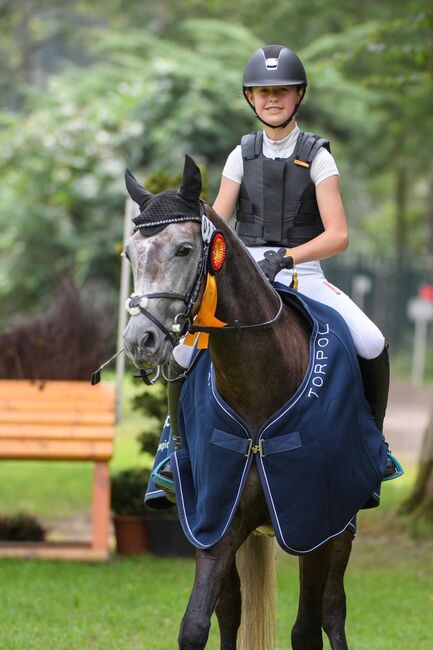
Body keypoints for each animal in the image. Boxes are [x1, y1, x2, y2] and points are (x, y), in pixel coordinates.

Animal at [120, 157, 352, 648]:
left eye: (184, 249)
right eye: (130, 255)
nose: (139, 341)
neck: (259, 387)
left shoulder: (316, 522)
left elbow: (308, 627)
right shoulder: (214, 520)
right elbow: (198, 625)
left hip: (343, 528)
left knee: (332, 611)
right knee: (232, 612)